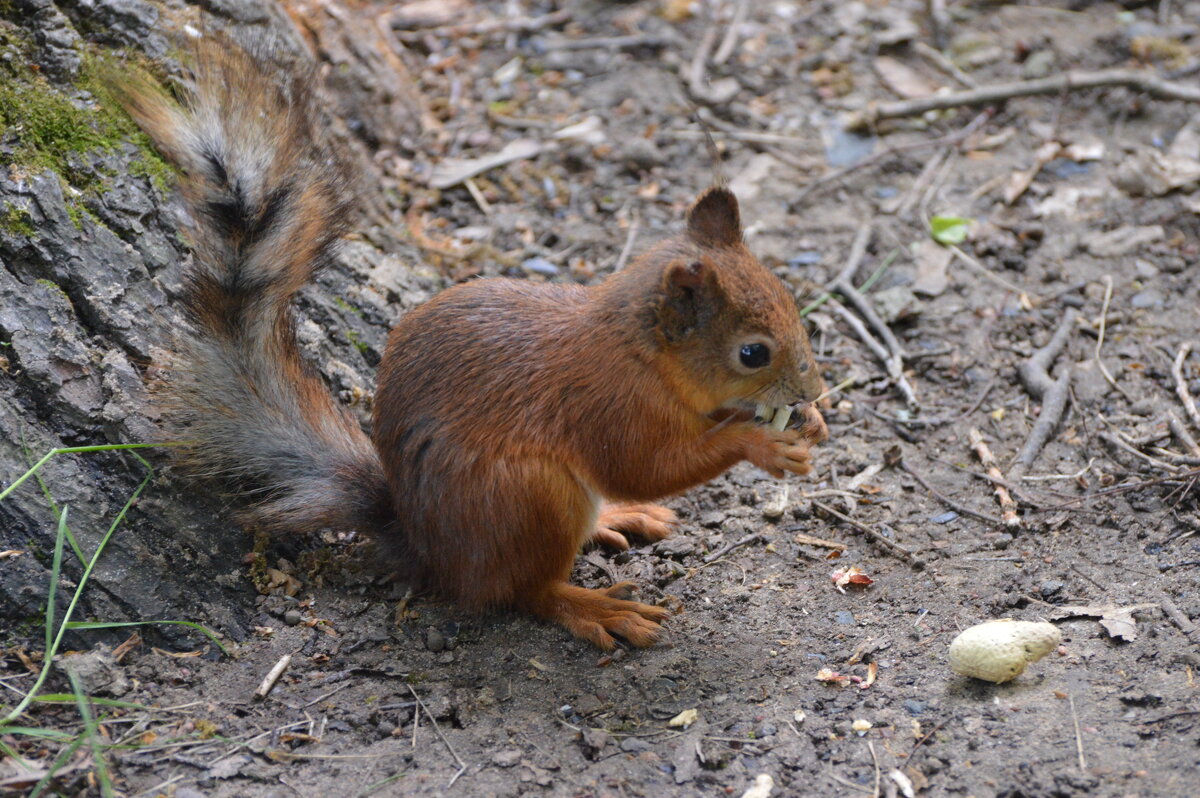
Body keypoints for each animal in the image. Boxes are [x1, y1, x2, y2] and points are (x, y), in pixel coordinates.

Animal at [117, 46, 830, 652]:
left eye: (791, 298)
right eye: (752, 354)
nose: (814, 389)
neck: (643, 355)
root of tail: (427, 549)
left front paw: (811, 423)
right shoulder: (608, 405)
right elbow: (646, 465)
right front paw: (760, 442)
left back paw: (614, 520)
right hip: (526, 497)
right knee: (521, 591)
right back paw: (594, 606)